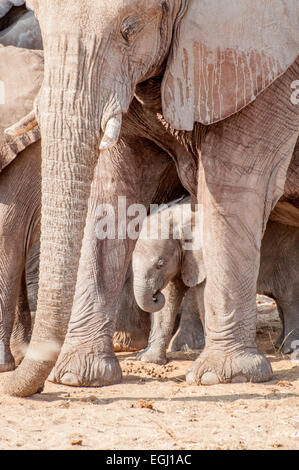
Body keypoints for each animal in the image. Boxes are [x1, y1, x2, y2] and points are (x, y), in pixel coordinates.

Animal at [134, 196, 299, 366]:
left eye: (160, 264)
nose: (155, 295)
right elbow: (169, 298)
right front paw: (148, 360)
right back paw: (279, 345)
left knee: (289, 300)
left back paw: (289, 349)